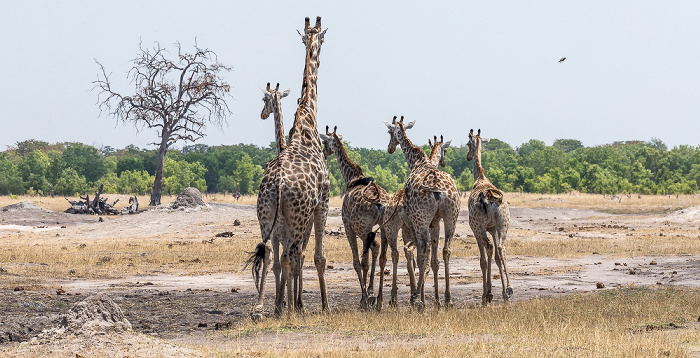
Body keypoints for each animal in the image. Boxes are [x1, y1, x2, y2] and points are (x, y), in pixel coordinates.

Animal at [250, 16, 330, 316]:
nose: (262, 113)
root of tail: (279, 185)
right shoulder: (323, 202)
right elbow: (317, 256)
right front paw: (323, 305)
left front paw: (290, 302)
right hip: (295, 219)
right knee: (288, 255)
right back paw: (284, 307)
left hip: (265, 217)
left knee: (269, 254)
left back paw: (265, 306)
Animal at [320, 125, 380, 308]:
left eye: (324, 141)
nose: (324, 152)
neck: (351, 177)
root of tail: (378, 203)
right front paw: (367, 294)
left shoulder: (348, 226)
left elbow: (357, 262)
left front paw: (363, 298)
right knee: (381, 249)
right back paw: (376, 294)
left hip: (363, 228)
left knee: (370, 253)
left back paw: (368, 296)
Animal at [382, 116, 460, 310]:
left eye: (389, 131)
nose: (390, 148)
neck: (418, 161)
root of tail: (437, 188)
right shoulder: (435, 221)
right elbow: (434, 260)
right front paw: (436, 300)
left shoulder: (417, 222)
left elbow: (421, 257)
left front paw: (421, 298)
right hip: (451, 217)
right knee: (446, 250)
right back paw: (447, 299)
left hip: (418, 221)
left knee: (416, 252)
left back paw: (415, 298)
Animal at [468, 129, 512, 304]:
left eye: (468, 143)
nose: (468, 156)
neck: (479, 178)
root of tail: (492, 198)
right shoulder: (493, 228)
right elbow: (497, 258)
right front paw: (503, 293)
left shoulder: (475, 229)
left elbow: (483, 260)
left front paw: (487, 294)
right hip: (503, 224)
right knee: (501, 248)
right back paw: (509, 290)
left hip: (479, 227)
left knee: (489, 248)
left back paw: (487, 295)